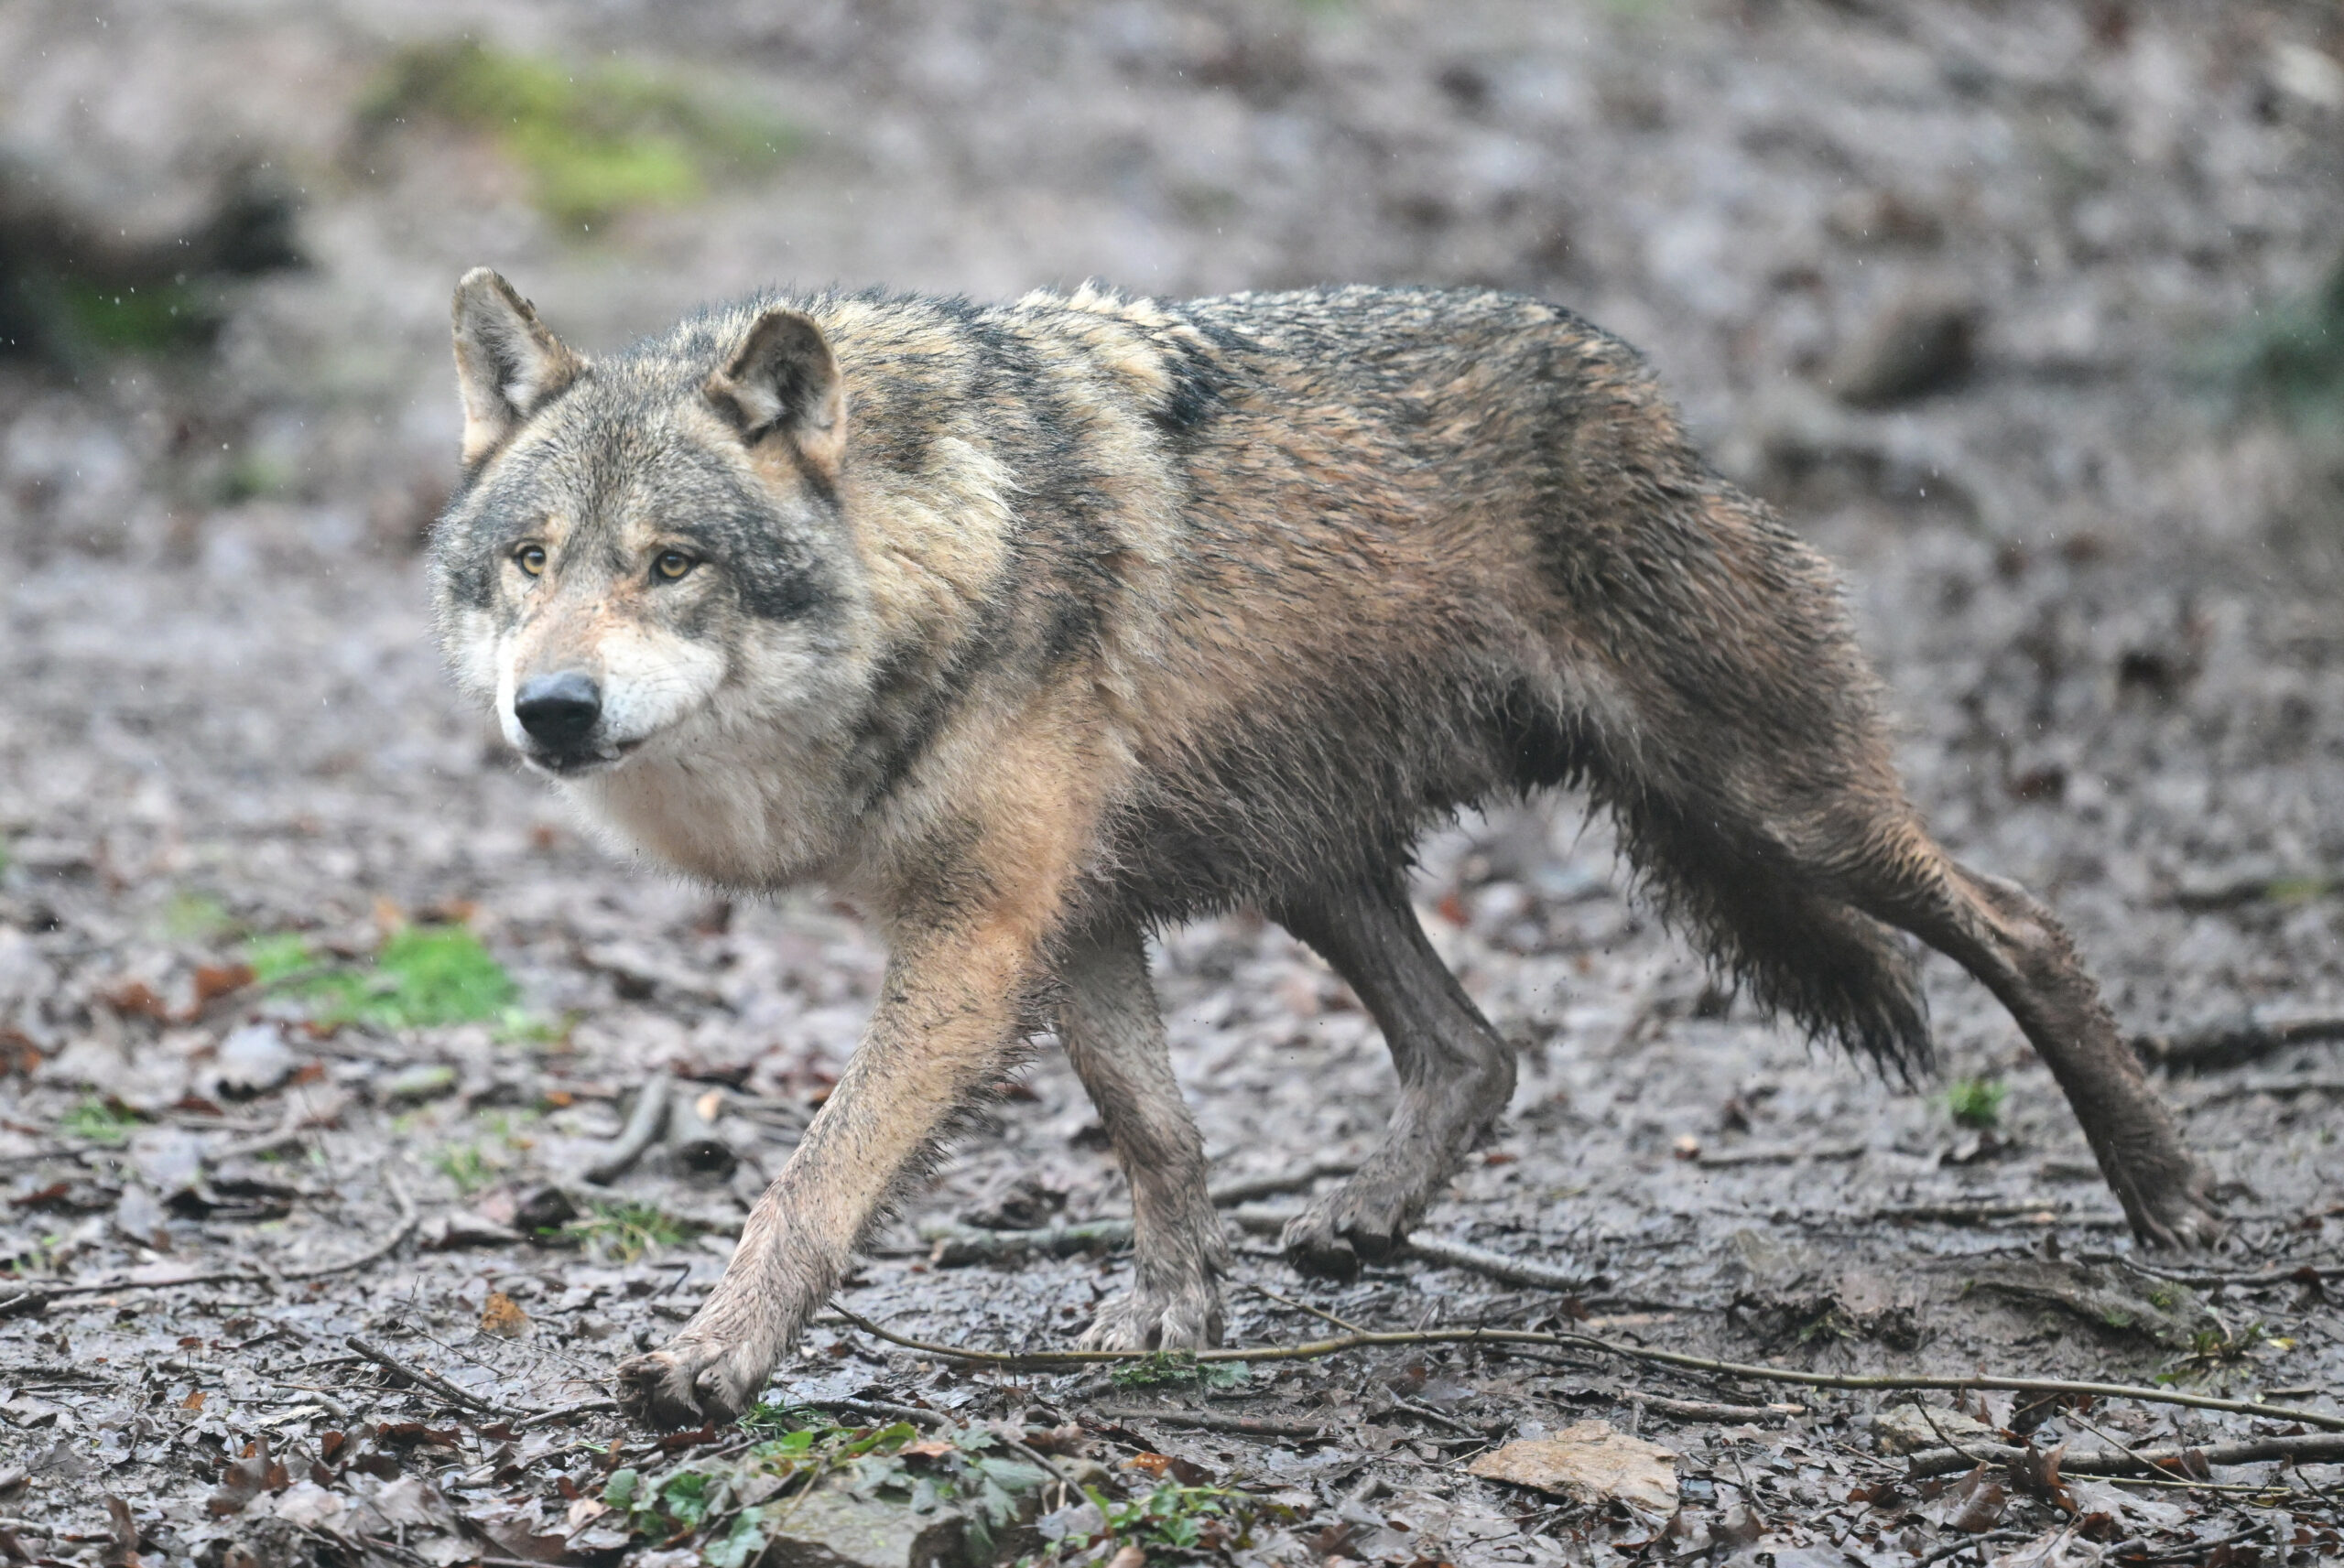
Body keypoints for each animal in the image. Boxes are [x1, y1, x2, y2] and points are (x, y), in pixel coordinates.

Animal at [429, 269, 2219, 1427]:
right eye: (531, 559)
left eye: (671, 563)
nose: (553, 708)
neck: (938, 553)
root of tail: (1649, 397)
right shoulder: (1070, 920)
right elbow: (1156, 1130)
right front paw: (1175, 1313)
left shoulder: (979, 936)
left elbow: (809, 1182)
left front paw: (711, 1361)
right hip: (1315, 864)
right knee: (1477, 1048)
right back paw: (1362, 1218)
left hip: (1778, 807)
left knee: (2025, 920)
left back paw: (2167, 1196)